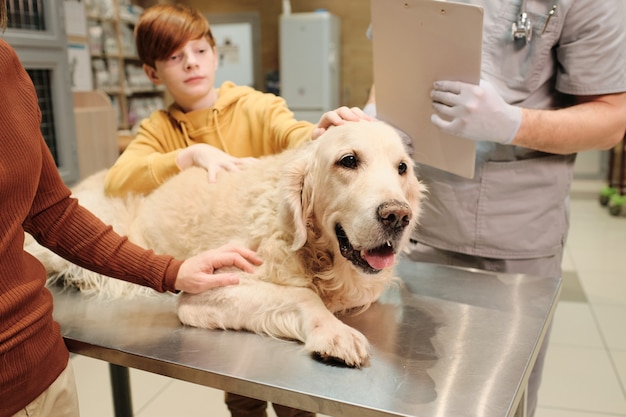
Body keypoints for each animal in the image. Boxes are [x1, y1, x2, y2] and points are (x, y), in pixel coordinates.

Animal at [25, 119, 424, 364]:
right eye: (348, 160)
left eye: (402, 168)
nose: (397, 216)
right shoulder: (206, 288)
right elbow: (302, 295)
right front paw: (334, 333)